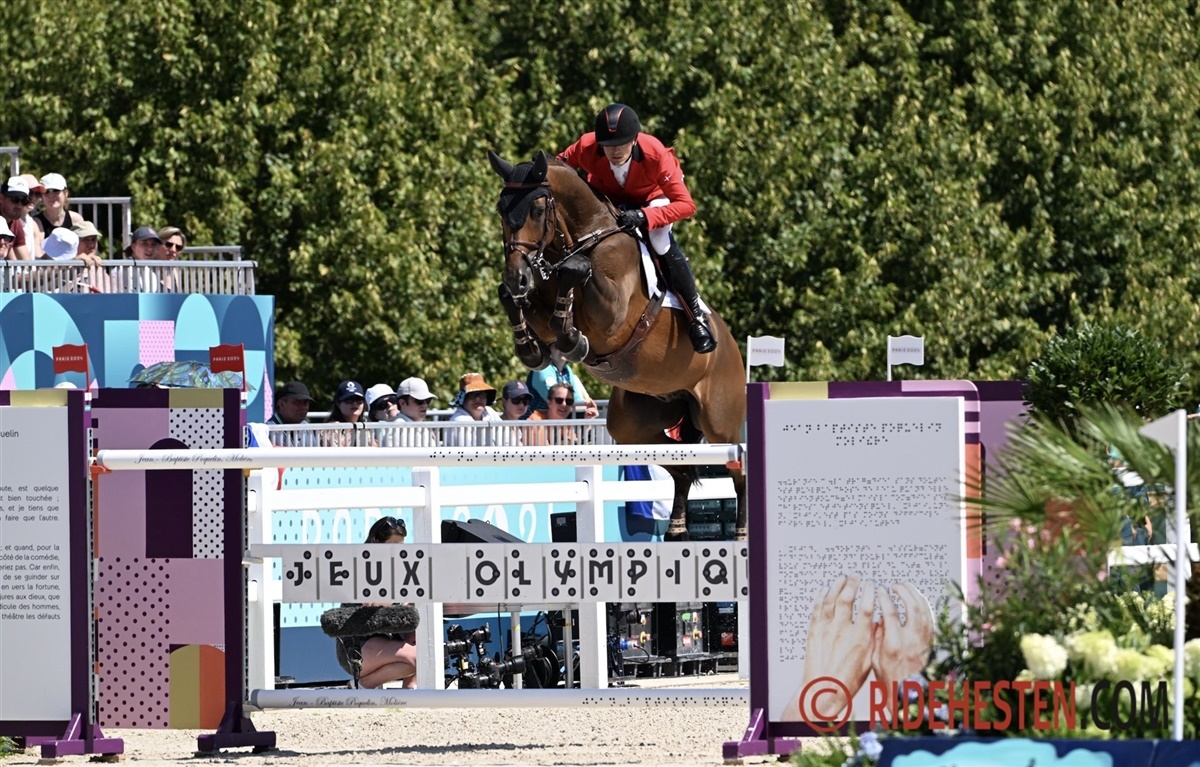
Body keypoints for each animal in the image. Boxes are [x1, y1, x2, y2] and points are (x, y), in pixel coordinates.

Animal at [487, 150, 747, 541]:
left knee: (738, 468)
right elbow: (527, 311)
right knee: (683, 465)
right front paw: (534, 344)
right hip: (633, 426)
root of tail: (732, 347)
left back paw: (741, 532)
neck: (582, 238)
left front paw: (572, 339)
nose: (518, 276)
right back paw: (677, 531)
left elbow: (576, 273)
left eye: (537, 209)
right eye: (502, 209)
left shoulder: (612, 316)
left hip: (719, 422)